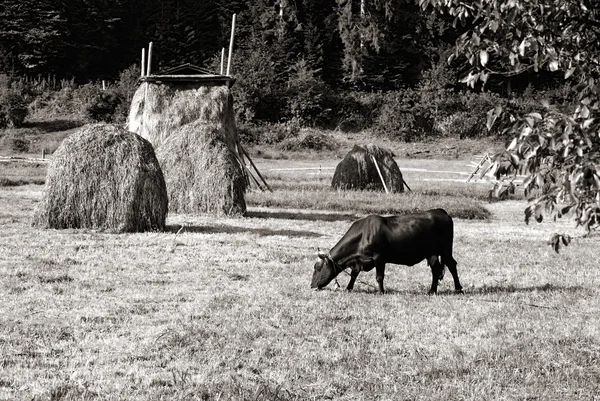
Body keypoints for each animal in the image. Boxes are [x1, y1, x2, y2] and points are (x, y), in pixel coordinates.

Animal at [312, 209, 462, 294]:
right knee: (436, 269)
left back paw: (458, 289)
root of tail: (440, 211)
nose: (312, 285)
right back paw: (432, 290)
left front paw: (381, 292)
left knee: (451, 265)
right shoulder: (358, 261)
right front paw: (349, 288)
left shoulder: (379, 258)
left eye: (318, 268)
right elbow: (354, 274)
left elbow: (379, 277)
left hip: (445, 250)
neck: (363, 234)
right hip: (432, 254)